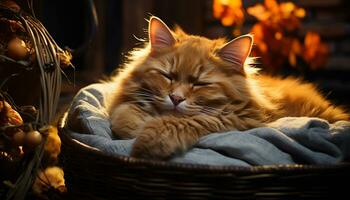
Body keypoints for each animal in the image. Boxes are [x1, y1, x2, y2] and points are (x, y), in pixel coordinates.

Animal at [108, 16, 348, 159]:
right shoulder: (123, 103)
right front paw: (136, 127)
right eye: (168, 76)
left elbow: (183, 122)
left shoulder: (241, 120)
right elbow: (122, 114)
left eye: (200, 84)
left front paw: (145, 143)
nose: (176, 98)